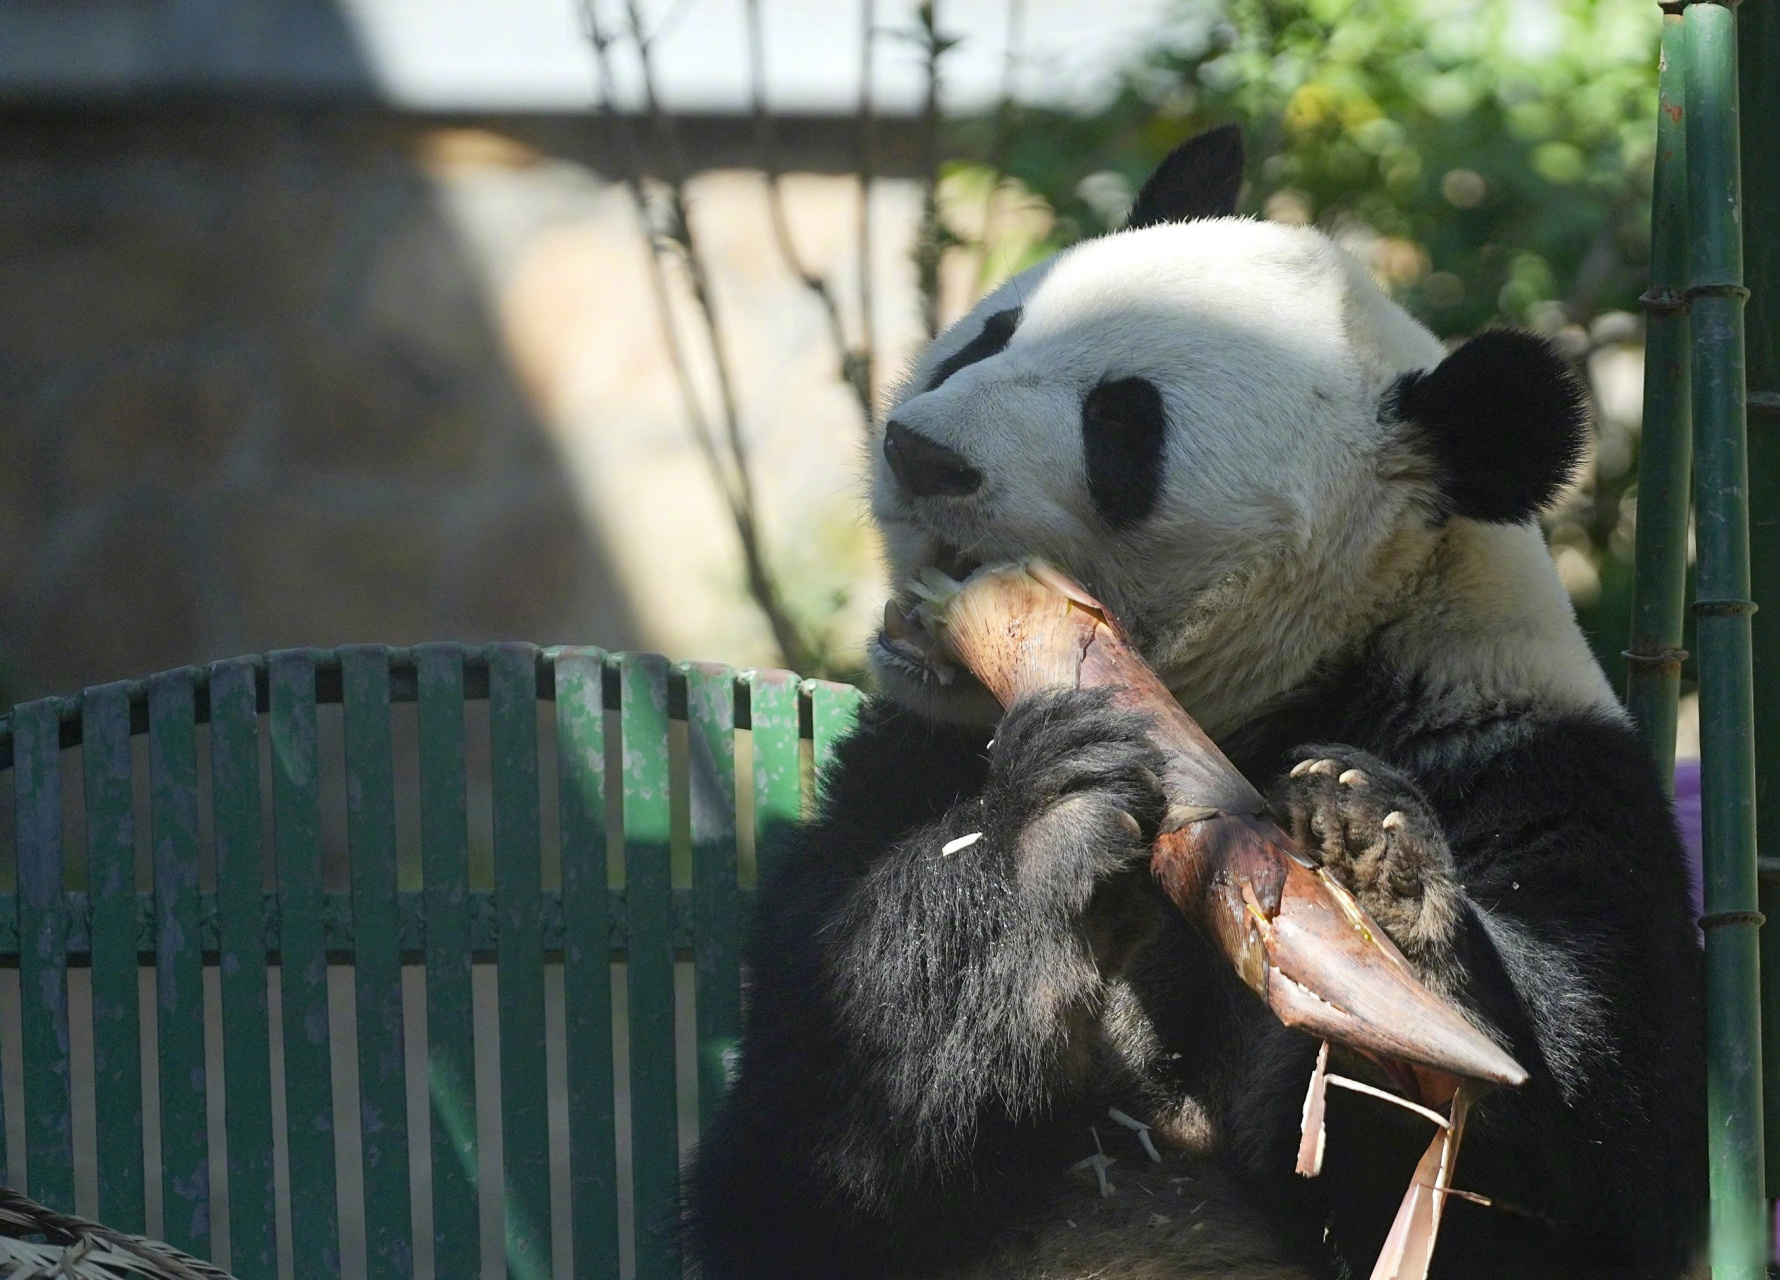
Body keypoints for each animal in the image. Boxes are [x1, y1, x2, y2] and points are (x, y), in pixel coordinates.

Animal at [676, 127, 1694, 1280]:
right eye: (989, 335)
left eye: (1122, 423)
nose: (918, 450)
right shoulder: (900, 770)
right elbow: (805, 1157)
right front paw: (1049, 822)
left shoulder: (1532, 770)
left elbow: (1577, 1178)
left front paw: (1374, 866)